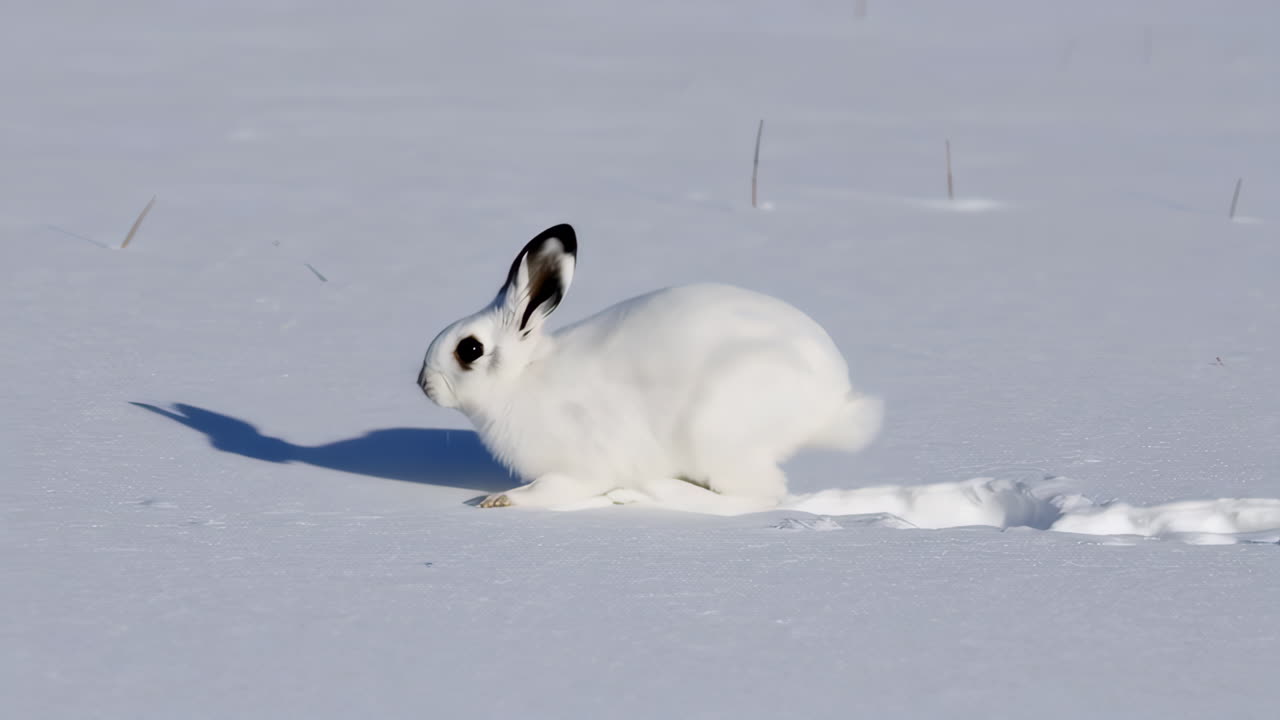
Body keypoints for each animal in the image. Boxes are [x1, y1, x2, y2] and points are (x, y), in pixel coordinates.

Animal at [417, 223, 882, 514]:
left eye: (470, 349)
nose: (424, 384)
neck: (521, 379)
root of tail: (833, 403)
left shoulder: (581, 467)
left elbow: (552, 489)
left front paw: (498, 501)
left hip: (716, 430)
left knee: (757, 497)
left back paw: (648, 492)